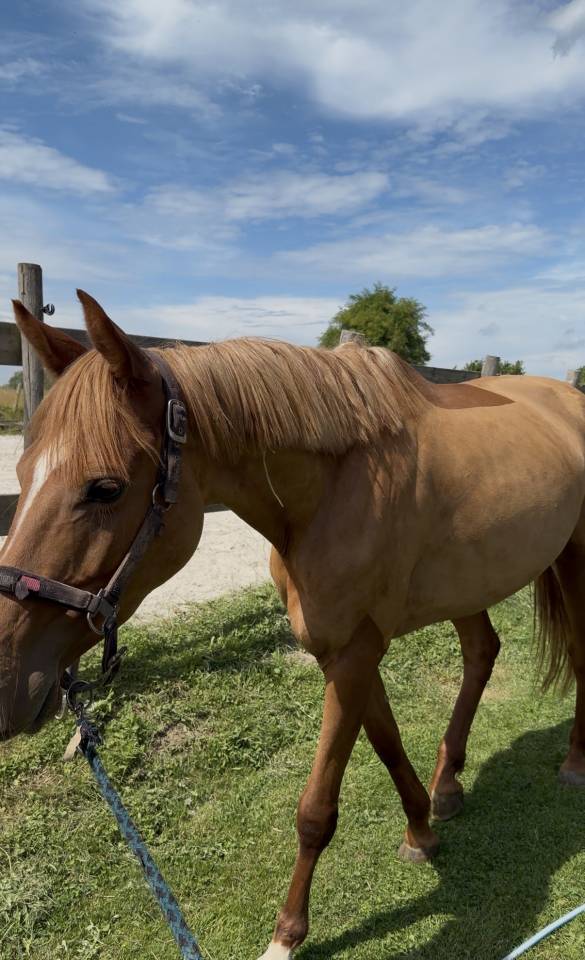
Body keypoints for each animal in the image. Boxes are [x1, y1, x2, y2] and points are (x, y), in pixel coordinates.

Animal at [1, 290, 585, 960]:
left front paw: (287, 933)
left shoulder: (354, 656)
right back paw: (448, 788)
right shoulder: (349, 653)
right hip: (472, 582)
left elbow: (316, 810)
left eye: (105, 487)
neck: (332, 491)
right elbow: (387, 745)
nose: (8, 682)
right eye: (21, 473)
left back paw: (573, 765)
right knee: (483, 653)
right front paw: (421, 830)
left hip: (575, 559)